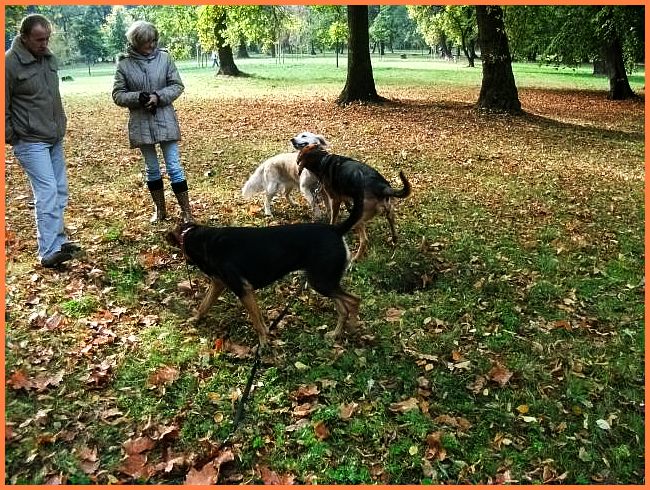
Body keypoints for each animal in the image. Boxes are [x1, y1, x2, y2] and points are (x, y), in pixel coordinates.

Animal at [165, 193, 362, 350]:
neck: (199, 239)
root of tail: (336, 229)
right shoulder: (220, 284)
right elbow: (204, 305)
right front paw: (195, 319)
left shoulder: (243, 289)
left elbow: (256, 321)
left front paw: (263, 343)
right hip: (326, 281)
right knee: (343, 309)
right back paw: (335, 334)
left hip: (321, 281)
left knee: (354, 301)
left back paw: (352, 328)